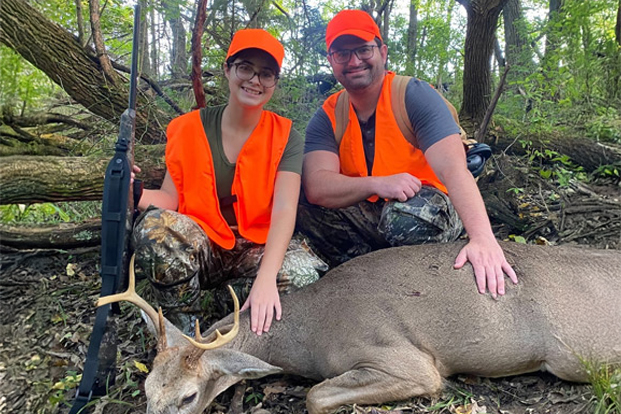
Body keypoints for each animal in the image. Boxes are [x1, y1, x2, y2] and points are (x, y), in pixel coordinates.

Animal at [97, 243, 620, 414]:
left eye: (188, 396)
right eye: (146, 390)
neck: (309, 332)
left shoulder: (406, 359)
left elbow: (314, 396)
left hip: (577, 353)